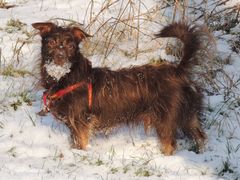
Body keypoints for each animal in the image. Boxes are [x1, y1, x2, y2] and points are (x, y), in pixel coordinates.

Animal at [32, 21, 207, 155]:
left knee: (170, 144)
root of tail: (178, 70)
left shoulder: (81, 122)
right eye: (51, 42)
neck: (67, 76)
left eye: (70, 45)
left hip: (166, 119)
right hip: (189, 115)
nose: (60, 57)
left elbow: (80, 143)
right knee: (200, 136)